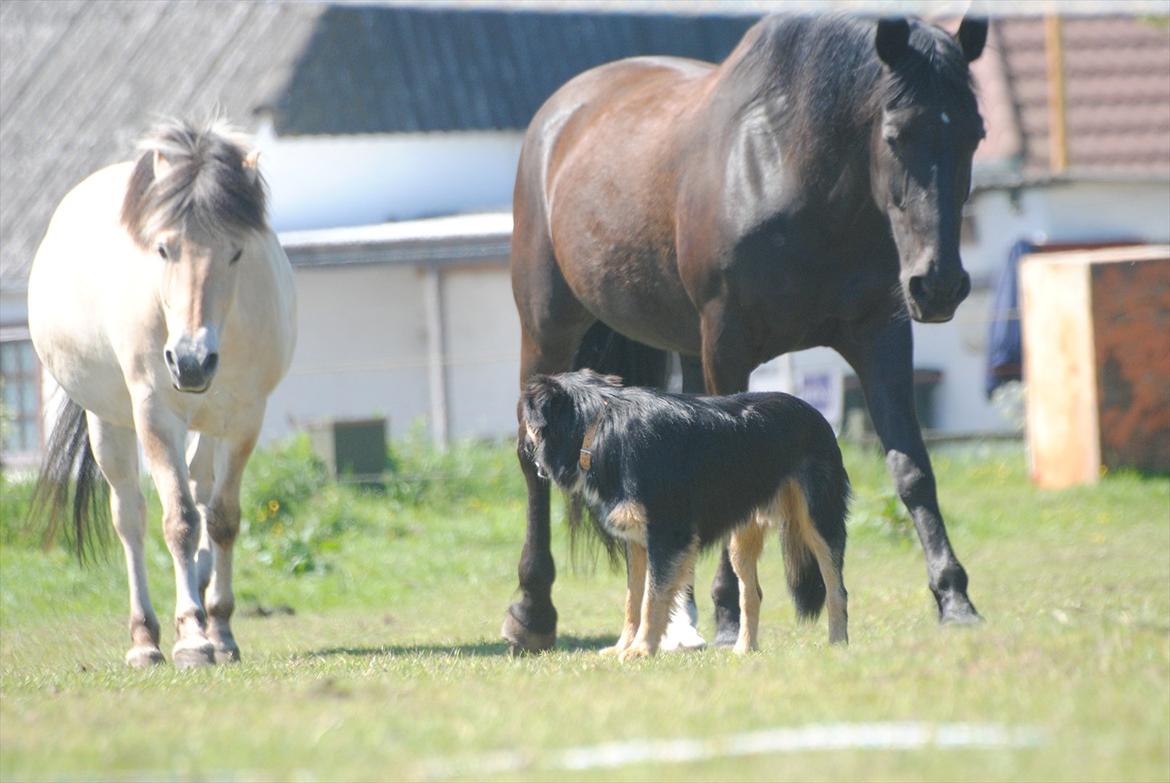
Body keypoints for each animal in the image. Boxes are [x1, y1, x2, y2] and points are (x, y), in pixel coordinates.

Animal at [524, 369, 851, 655]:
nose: (523, 448)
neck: (598, 426)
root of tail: (816, 415)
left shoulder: (668, 535)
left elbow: (652, 598)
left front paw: (641, 650)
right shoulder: (638, 540)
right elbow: (633, 598)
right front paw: (623, 647)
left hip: (818, 520)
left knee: (836, 589)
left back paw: (837, 646)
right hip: (741, 537)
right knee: (752, 594)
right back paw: (744, 650)